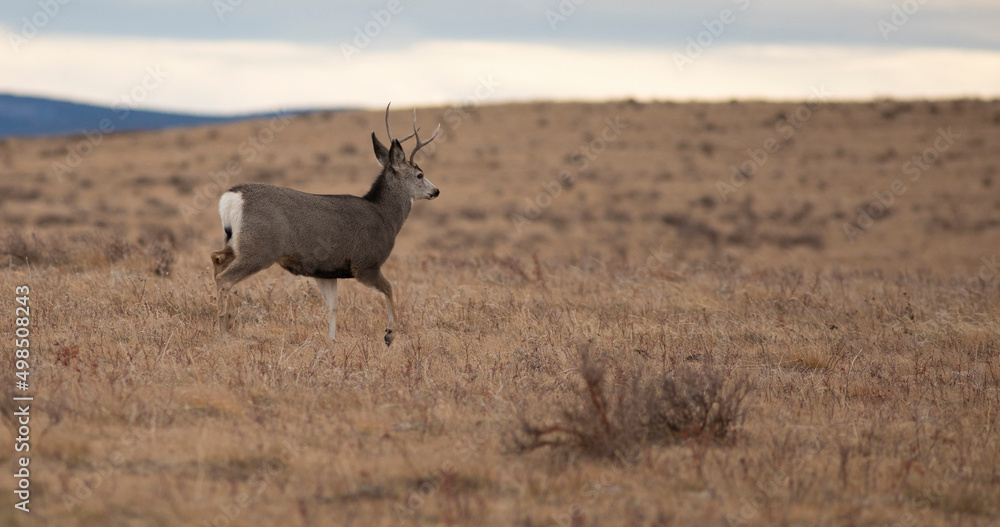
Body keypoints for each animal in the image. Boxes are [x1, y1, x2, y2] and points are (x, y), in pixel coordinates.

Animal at [210, 103, 440, 346]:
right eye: (419, 174)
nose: (436, 191)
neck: (385, 217)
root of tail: (231, 198)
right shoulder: (365, 263)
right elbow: (389, 288)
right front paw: (389, 334)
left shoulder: (325, 269)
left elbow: (333, 306)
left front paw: (332, 341)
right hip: (259, 249)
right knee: (224, 279)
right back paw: (224, 334)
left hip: (237, 242)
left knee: (216, 258)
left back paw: (229, 319)